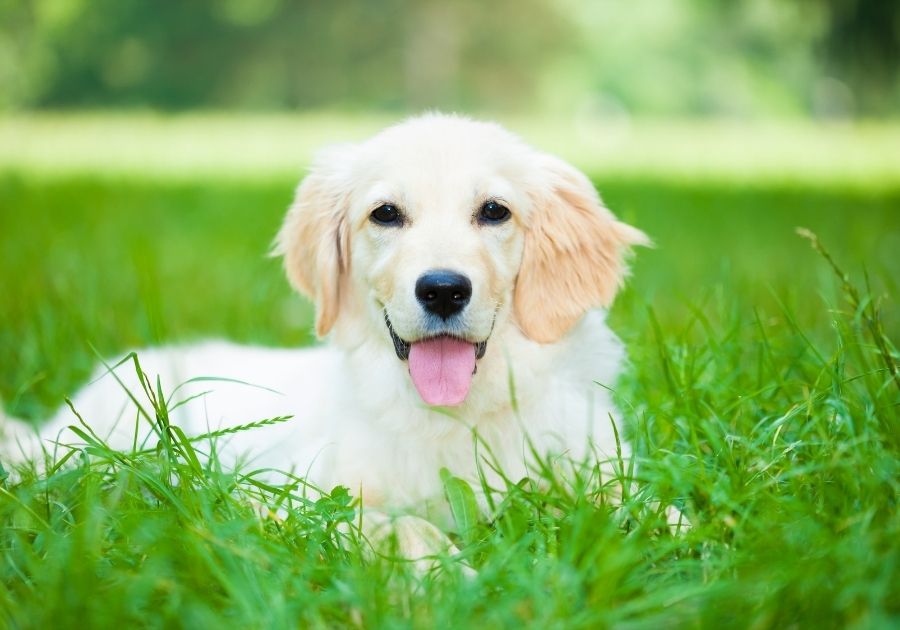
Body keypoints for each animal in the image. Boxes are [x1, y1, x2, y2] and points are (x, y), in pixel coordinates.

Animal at [0, 116, 648, 552]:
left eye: (495, 211)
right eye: (385, 213)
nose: (442, 290)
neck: (457, 416)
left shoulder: (597, 468)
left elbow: (648, 507)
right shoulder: (285, 491)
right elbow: (398, 525)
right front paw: (446, 574)